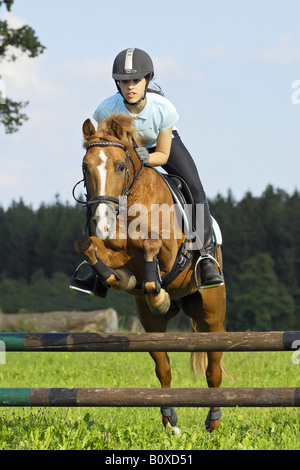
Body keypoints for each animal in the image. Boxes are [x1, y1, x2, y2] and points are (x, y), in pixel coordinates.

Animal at [72, 114, 226, 434]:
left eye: (121, 166)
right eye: (85, 166)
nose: (102, 221)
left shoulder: (169, 249)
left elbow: (152, 243)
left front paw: (154, 287)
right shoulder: (109, 248)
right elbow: (87, 246)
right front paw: (122, 279)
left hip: (213, 312)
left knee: (213, 367)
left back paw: (214, 421)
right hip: (151, 324)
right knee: (163, 368)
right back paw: (170, 421)